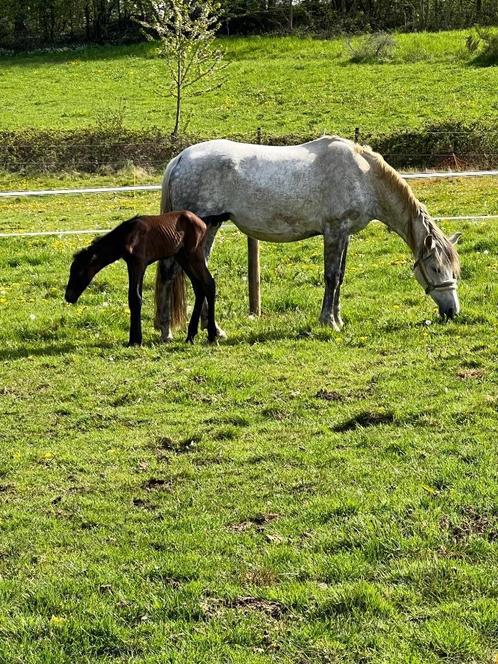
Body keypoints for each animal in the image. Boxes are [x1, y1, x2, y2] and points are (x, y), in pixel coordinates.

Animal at [64, 213, 216, 348]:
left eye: (79, 272)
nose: (68, 297)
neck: (128, 235)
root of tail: (202, 223)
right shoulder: (132, 264)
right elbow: (135, 298)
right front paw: (135, 338)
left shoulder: (138, 264)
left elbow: (135, 298)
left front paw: (135, 340)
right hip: (182, 257)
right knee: (199, 287)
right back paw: (191, 336)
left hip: (194, 255)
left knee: (209, 283)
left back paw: (212, 336)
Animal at [154, 136, 462, 342]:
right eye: (435, 268)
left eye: (453, 270)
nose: (452, 311)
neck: (363, 176)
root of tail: (180, 159)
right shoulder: (335, 231)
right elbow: (331, 277)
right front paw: (329, 322)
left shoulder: (345, 234)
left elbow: (340, 277)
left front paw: (337, 318)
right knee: (172, 271)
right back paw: (168, 331)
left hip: (211, 227)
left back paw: (212, 330)